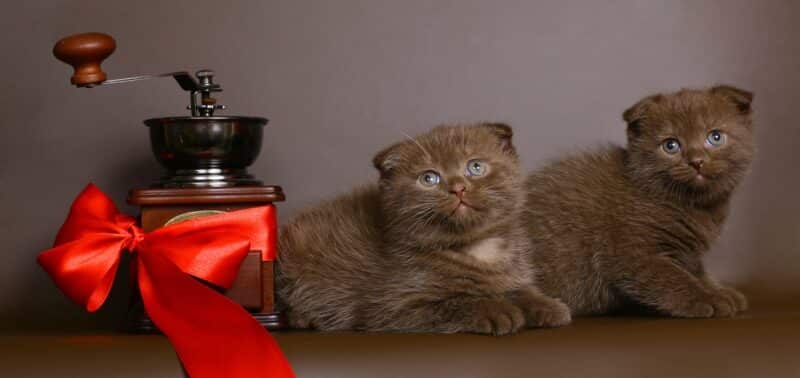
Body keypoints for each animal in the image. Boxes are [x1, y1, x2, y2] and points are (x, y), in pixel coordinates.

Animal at [278, 122, 572, 336]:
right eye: (429, 178)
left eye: (475, 166)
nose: (458, 187)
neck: (477, 248)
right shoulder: (391, 307)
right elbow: (454, 302)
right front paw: (497, 310)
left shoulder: (510, 271)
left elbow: (519, 288)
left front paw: (547, 305)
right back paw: (302, 318)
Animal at [524, 84, 756, 318]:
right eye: (671, 145)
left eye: (715, 137)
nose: (697, 161)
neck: (691, 204)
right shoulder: (632, 252)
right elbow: (673, 278)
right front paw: (708, 298)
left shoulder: (688, 253)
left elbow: (696, 271)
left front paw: (719, 290)